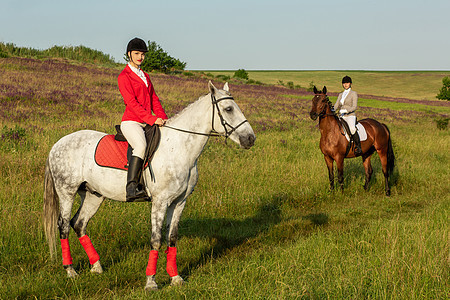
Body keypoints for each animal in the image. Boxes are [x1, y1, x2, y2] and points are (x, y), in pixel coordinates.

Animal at [44, 81, 255, 290]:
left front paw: (175, 278)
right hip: (66, 192)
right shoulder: (160, 202)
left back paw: (96, 266)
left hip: (93, 195)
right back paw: (70, 271)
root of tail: (57, 144)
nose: (250, 139)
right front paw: (151, 282)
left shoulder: (179, 202)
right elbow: (156, 240)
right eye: (228, 109)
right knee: (63, 225)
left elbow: (171, 238)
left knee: (79, 224)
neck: (179, 148)